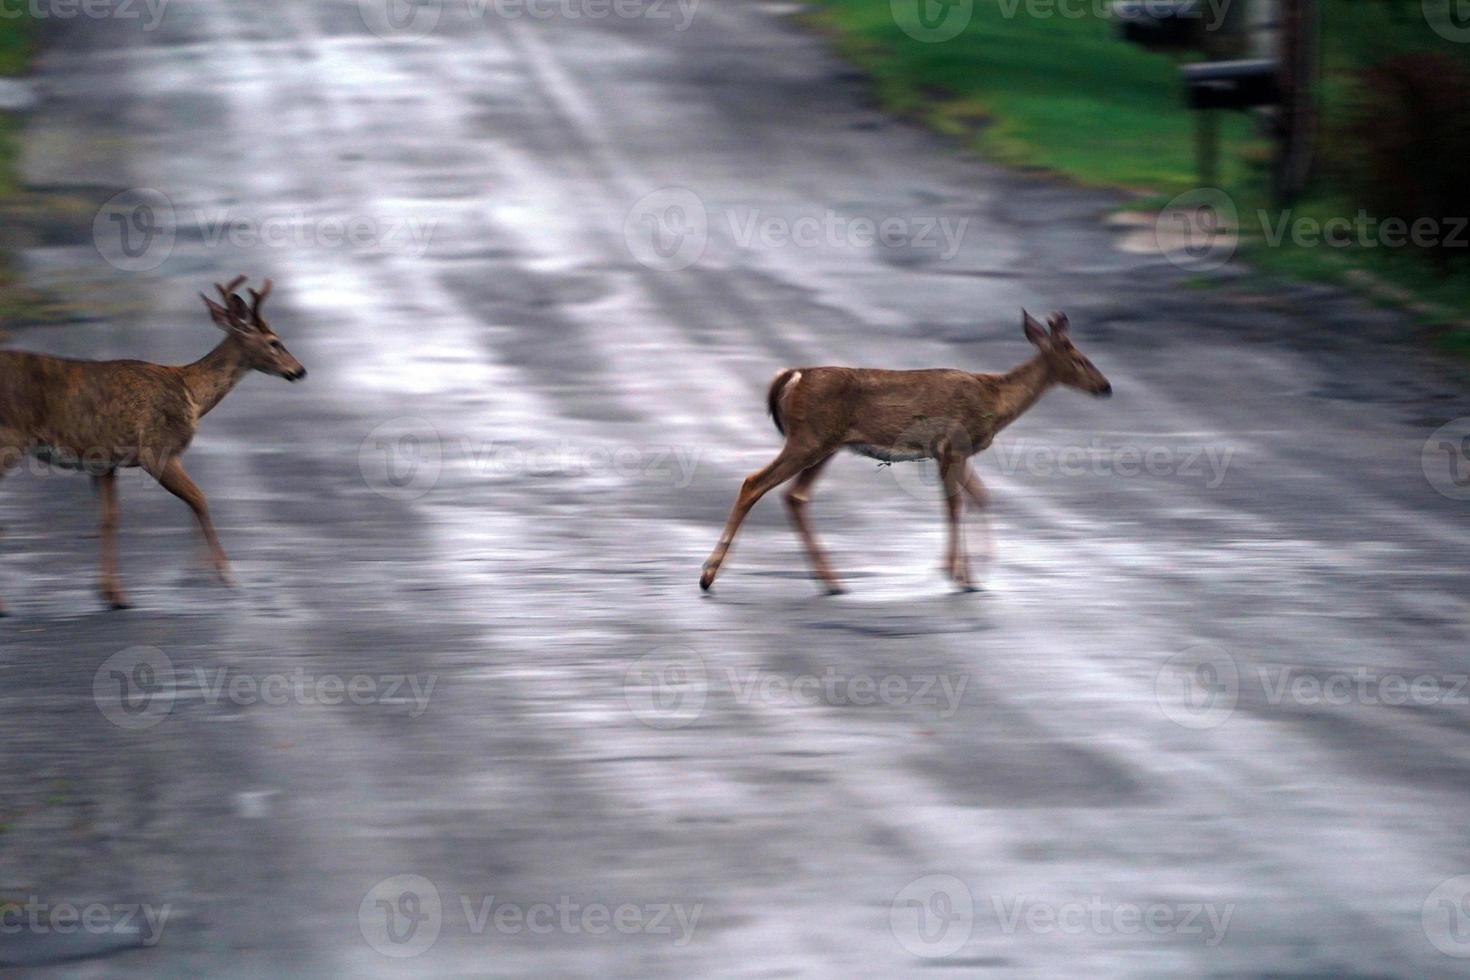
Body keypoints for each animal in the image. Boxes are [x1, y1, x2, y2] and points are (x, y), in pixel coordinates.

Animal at [0, 276, 305, 614]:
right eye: (274, 341)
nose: (299, 370)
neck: (191, 393)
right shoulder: (156, 449)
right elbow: (199, 499)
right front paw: (222, 574)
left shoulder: (104, 462)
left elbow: (109, 518)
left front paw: (113, 594)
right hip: (9, 437)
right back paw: (4, 605)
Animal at [696, 310, 1105, 593]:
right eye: (1080, 359)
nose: (1106, 387)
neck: (995, 399)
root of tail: (794, 376)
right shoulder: (951, 446)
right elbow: (956, 504)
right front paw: (961, 574)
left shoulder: (952, 454)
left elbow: (978, 497)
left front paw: (969, 569)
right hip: (808, 439)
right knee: (753, 483)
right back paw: (708, 576)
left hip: (826, 445)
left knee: (794, 496)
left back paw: (831, 581)